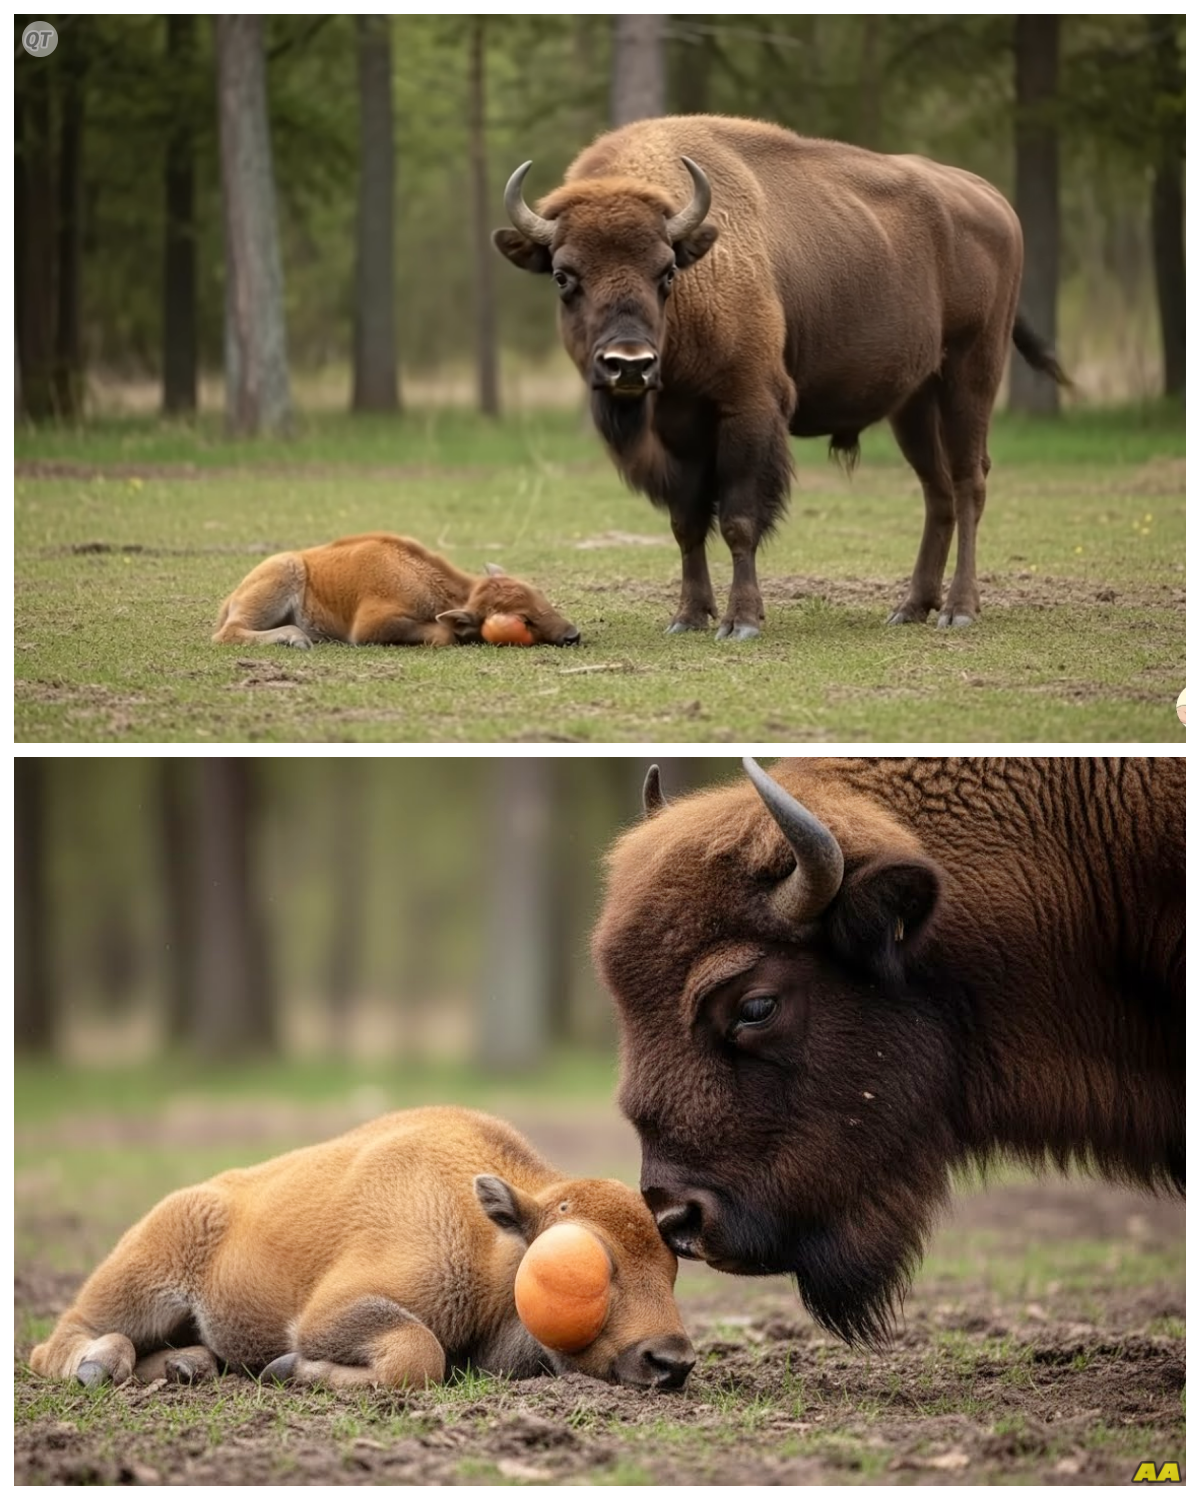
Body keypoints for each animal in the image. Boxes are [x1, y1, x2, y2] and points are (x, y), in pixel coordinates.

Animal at [29, 1106, 694, 1392]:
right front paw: (288, 1370)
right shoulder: (332, 1314)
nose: (673, 1361)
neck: (489, 1239)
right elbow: (417, 1353)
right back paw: (99, 1366)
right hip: (141, 1278)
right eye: (580, 1269)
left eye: (672, 1268)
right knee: (58, 1339)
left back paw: (185, 1366)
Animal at [213, 532, 580, 648]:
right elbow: (443, 635)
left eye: (539, 596)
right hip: (282, 576)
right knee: (228, 633)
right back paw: (296, 638)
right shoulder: (369, 627)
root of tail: (230, 597)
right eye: (522, 620)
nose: (572, 635)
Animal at [494, 115, 1069, 640]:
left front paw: (741, 622)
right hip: (914, 403)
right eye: (563, 276)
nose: (629, 363)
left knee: (971, 482)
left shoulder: (748, 410)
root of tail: (993, 201)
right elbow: (686, 524)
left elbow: (739, 521)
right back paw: (910, 608)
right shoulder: (679, 430)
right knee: (938, 490)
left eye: (667, 272)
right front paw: (688, 617)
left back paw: (959, 610)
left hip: (971, 374)